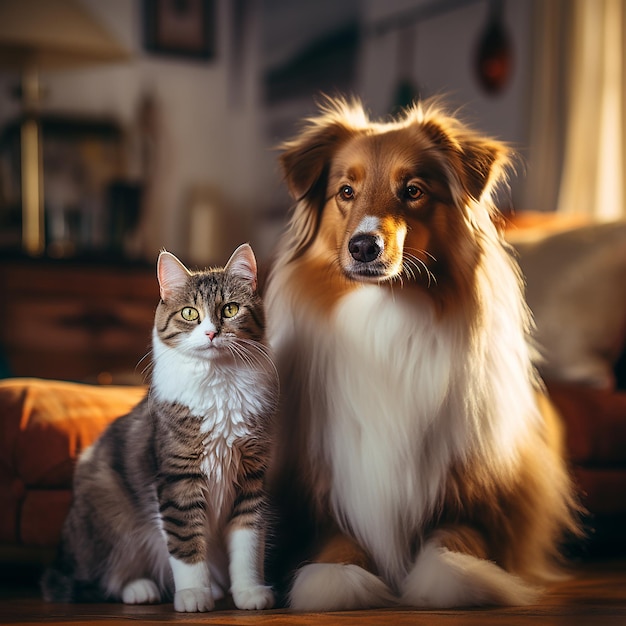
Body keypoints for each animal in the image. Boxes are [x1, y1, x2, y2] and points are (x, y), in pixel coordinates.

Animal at [42, 243, 276, 608]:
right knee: (105, 579)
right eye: (190, 314)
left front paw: (248, 592)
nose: (211, 333)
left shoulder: (251, 477)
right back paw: (142, 589)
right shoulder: (178, 479)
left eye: (230, 309)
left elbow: (248, 542)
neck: (219, 382)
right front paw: (193, 594)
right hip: (110, 517)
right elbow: (186, 544)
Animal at [262, 97, 576, 608]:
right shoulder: (324, 483)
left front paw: (457, 574)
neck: (385, 313)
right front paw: (339, 575)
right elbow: (335, 540)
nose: (363, 246)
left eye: (412, 190)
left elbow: (455, 540)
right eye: (345, 191)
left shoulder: (474, 490)